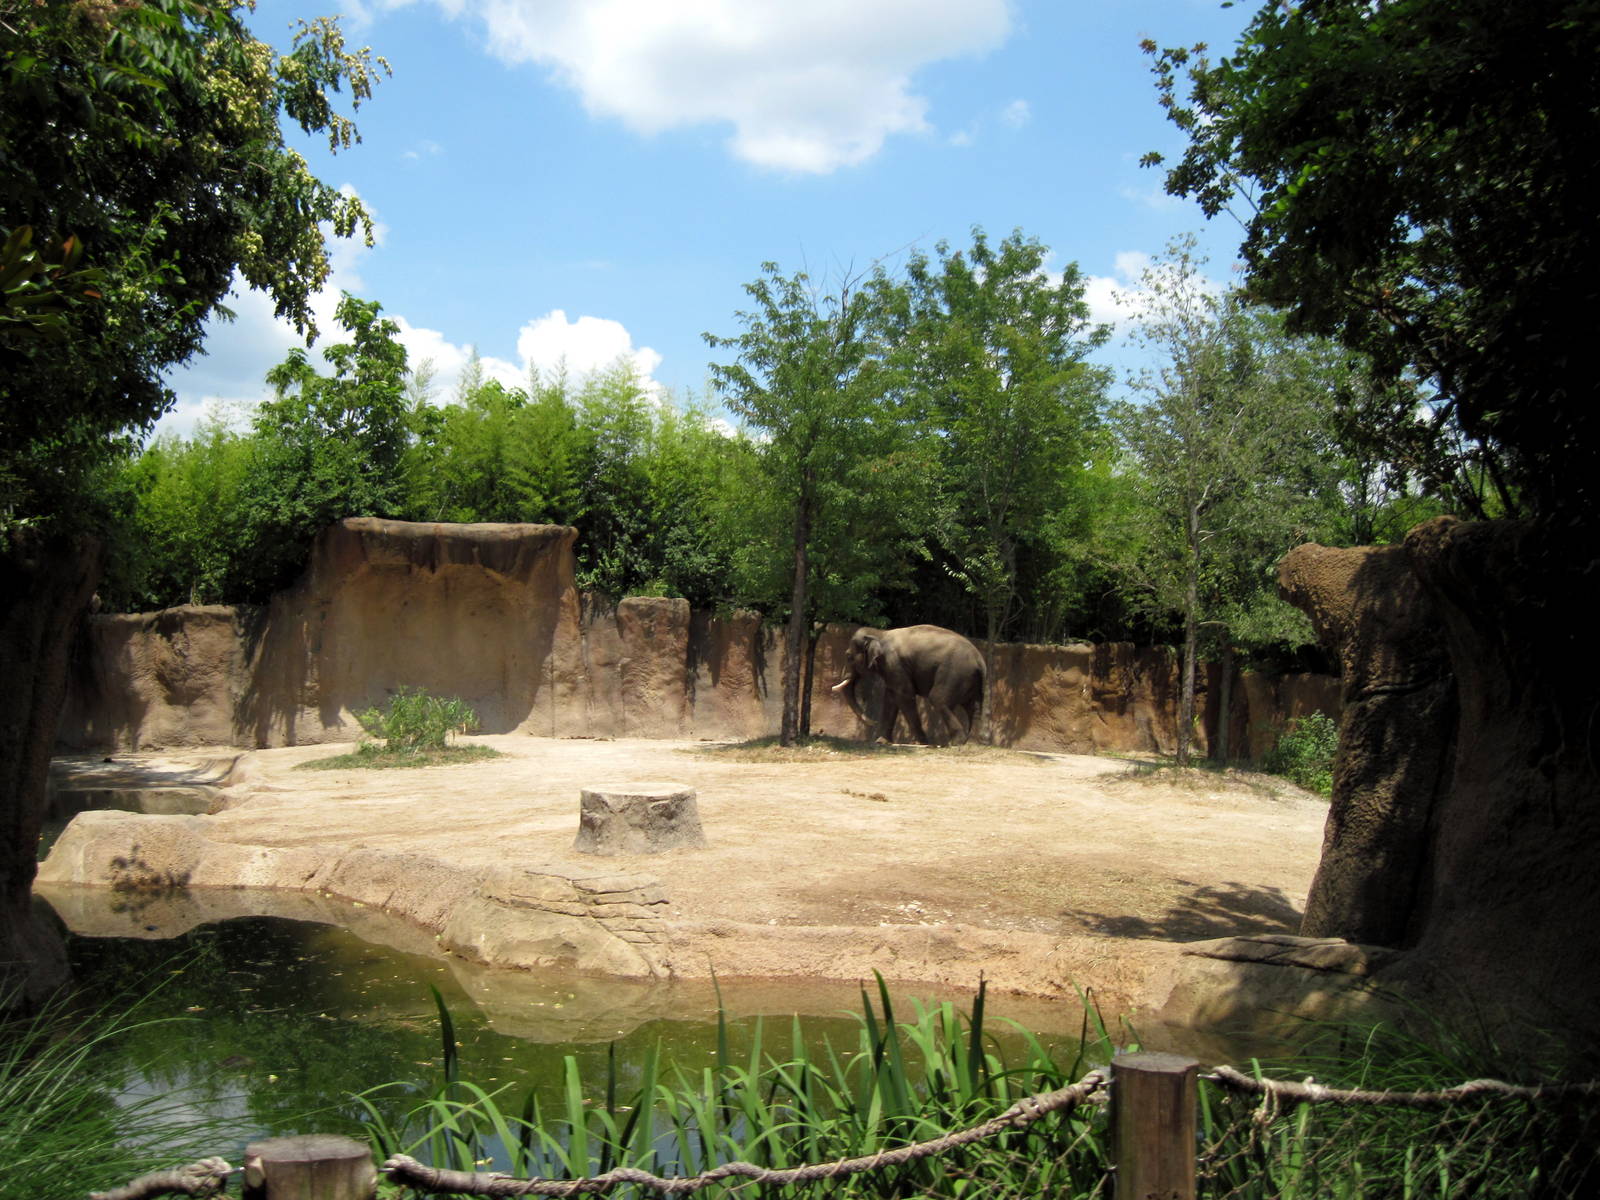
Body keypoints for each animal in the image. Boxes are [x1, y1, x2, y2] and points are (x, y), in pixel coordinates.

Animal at [830, 625, 985, 747]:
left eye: (848, 656)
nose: (873, 721)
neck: (880, 633)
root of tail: (980, 660)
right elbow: (891, 698)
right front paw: (881, 741)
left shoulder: (893, 663)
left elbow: (904, 695)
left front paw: (922, 743)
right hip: (971, 680)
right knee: (974, 707)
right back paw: (971, 743)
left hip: (955, 673)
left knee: (938, 699)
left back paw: (956, 743)